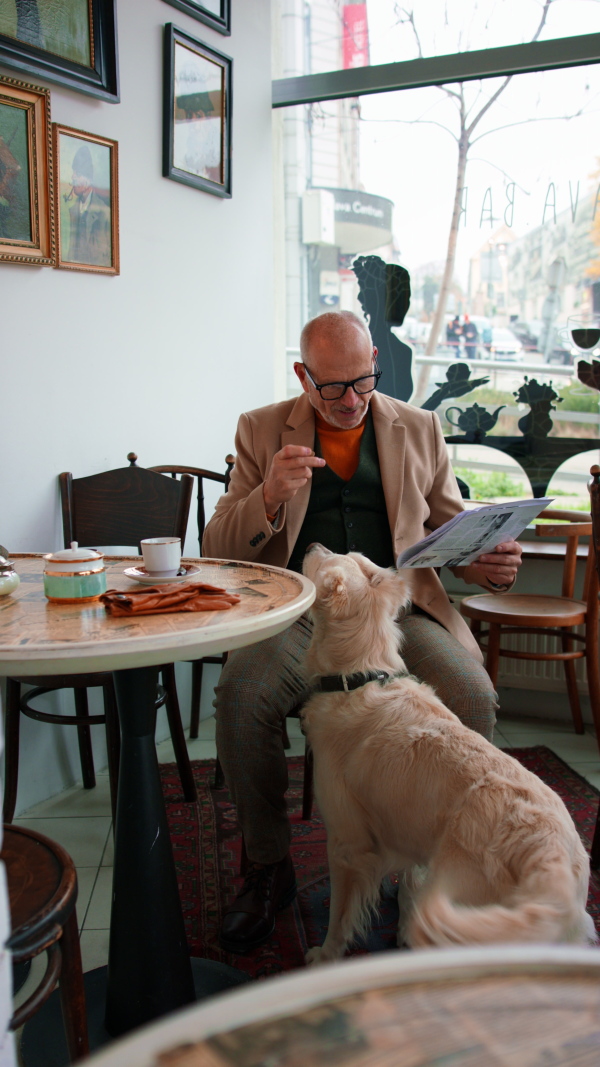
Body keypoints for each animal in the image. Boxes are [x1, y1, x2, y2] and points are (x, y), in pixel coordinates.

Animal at [301, 546, 589, 964]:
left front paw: (325, 954)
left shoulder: (347, 845)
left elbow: (339, 916)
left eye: (327, 560)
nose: (312, 546)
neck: (359, 675)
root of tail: (548, 855)